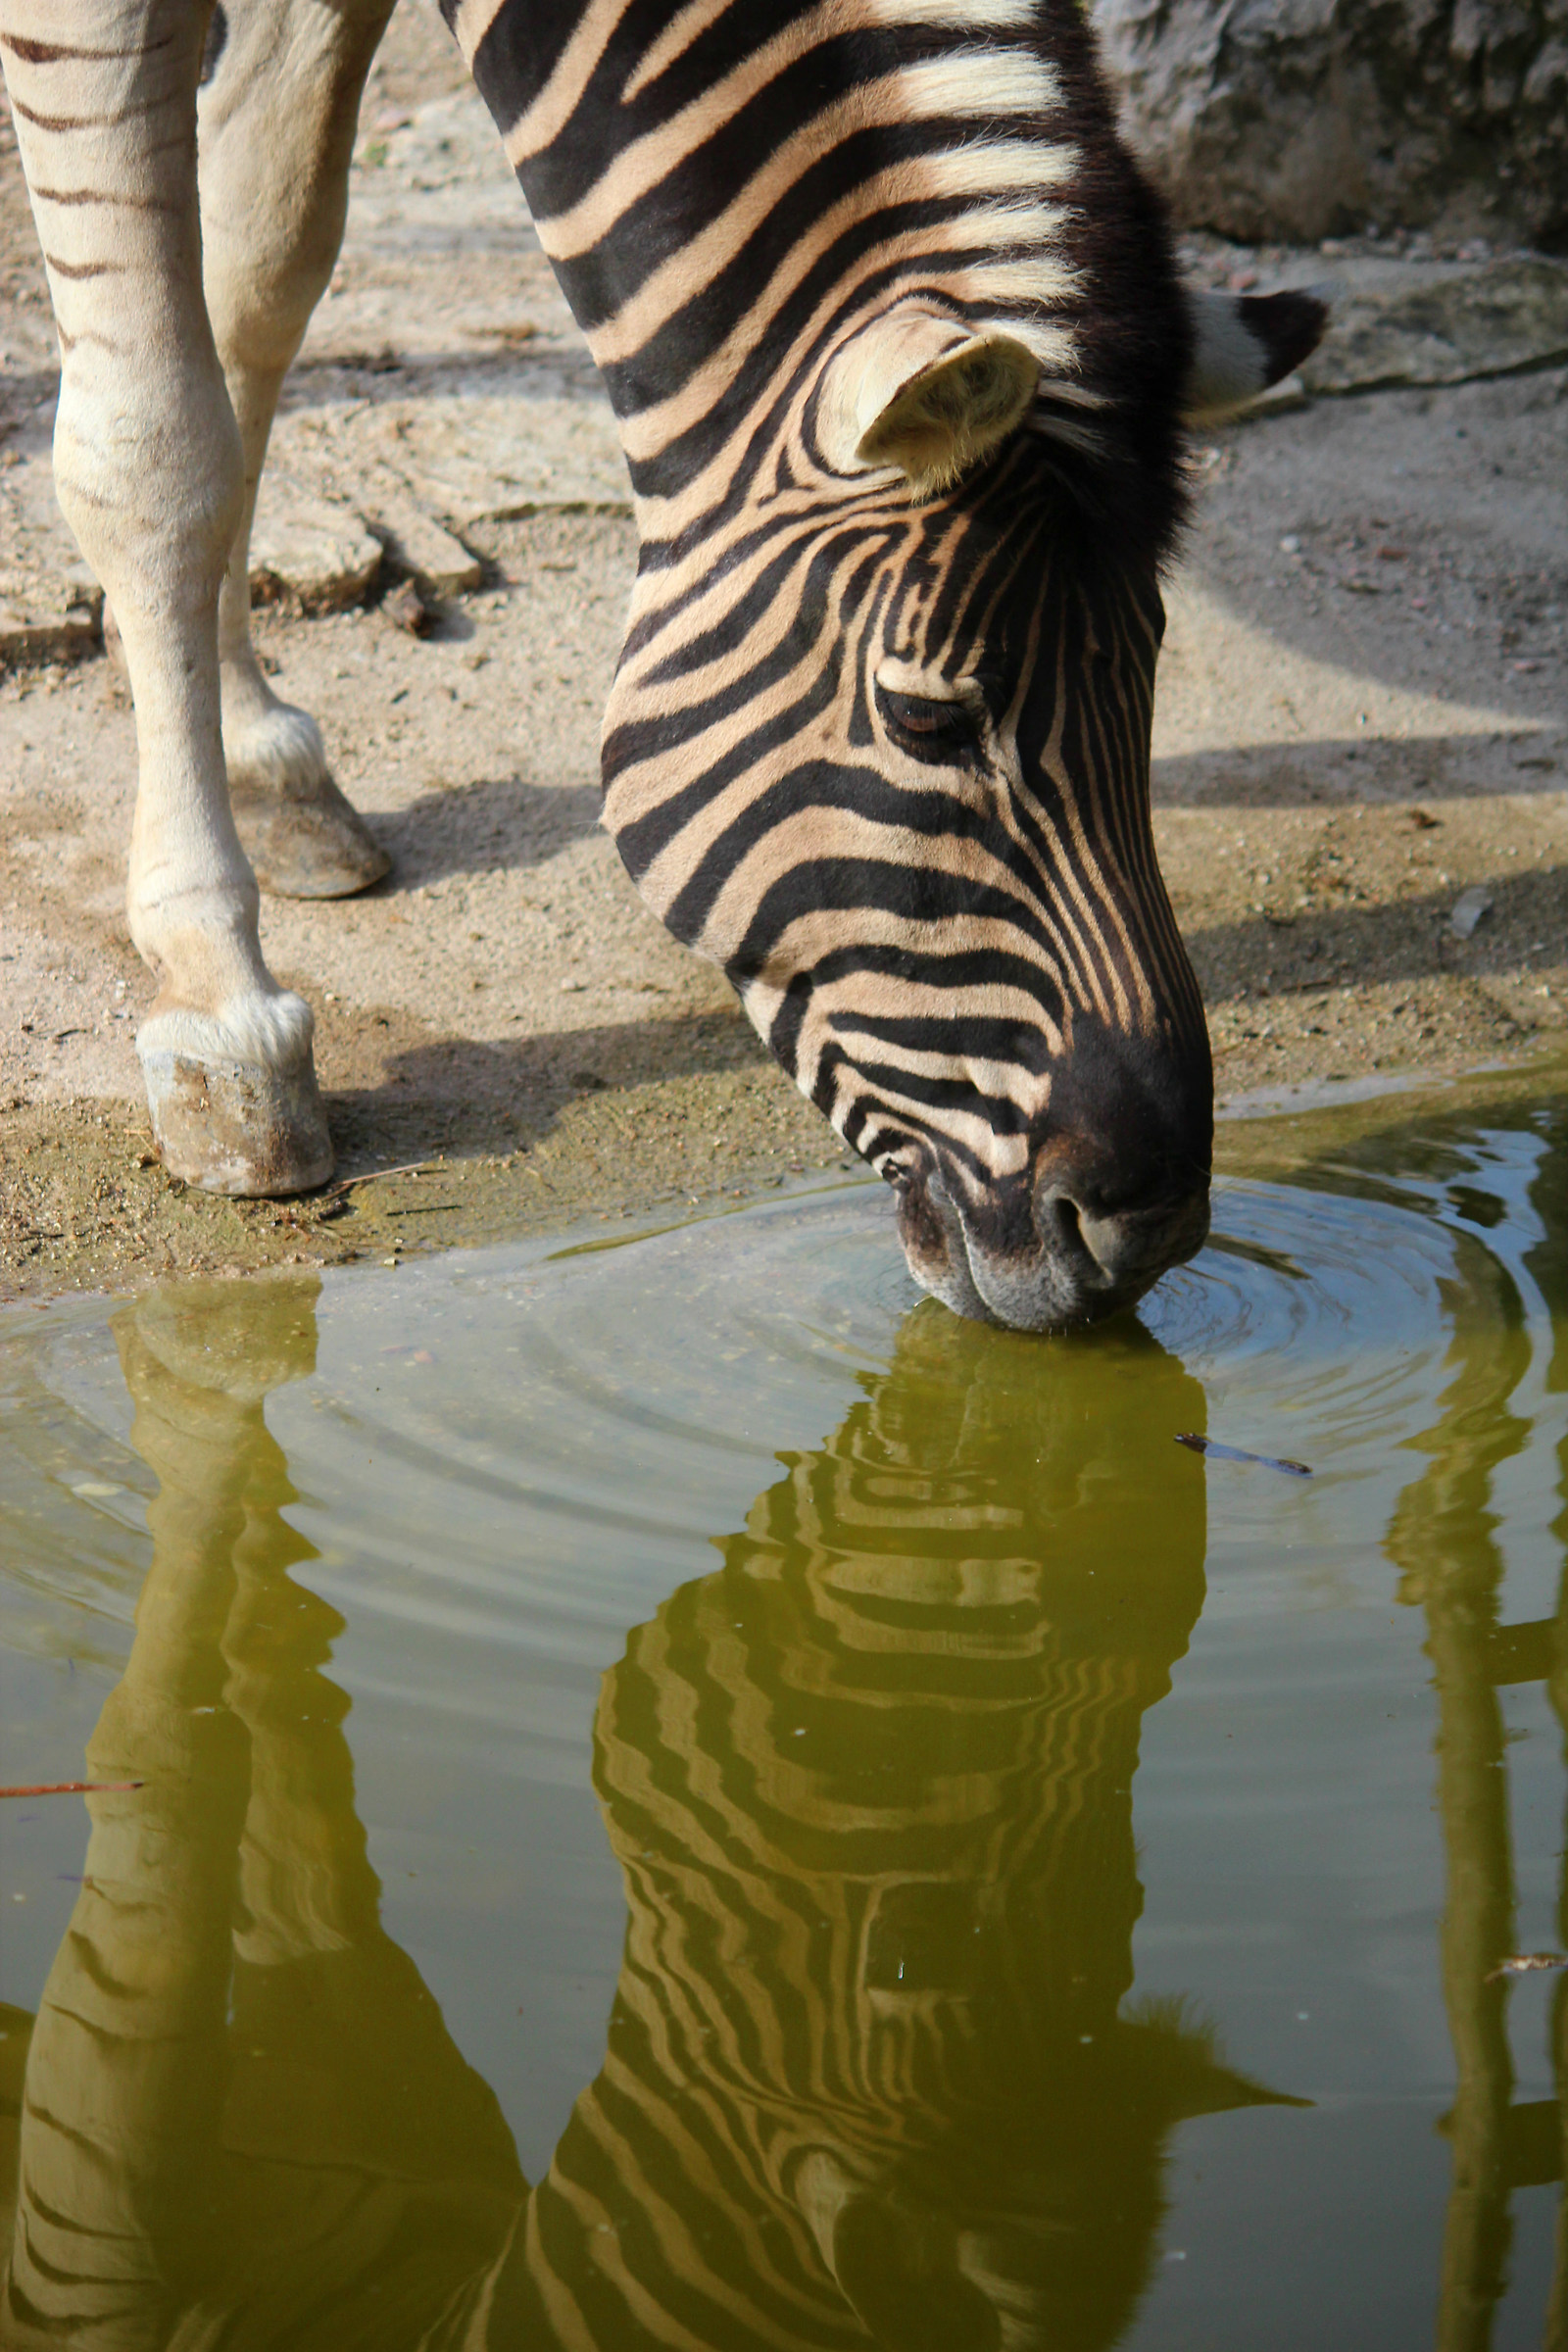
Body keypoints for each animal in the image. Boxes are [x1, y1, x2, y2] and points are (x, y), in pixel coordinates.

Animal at [0, 0, 1324, 1329]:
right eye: (927, 721)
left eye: (1151, 687)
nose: (1150, 1231)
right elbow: (159, 441)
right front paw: (218, 1001)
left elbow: (256, 289)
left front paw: (255, 747)